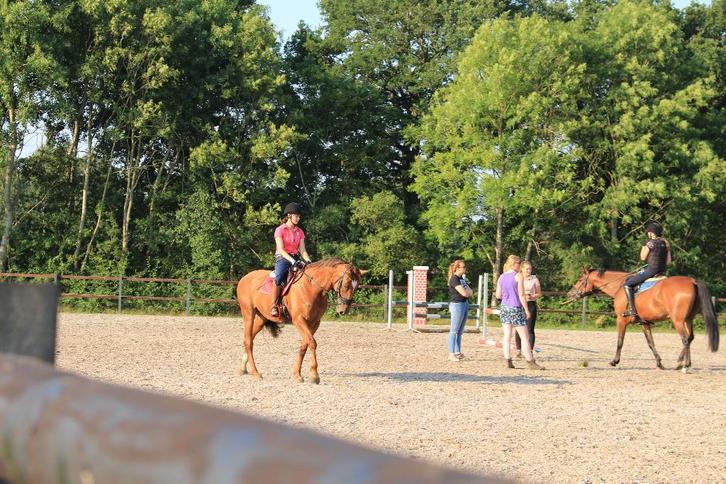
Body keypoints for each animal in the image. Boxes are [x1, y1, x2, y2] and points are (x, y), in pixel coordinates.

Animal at [236, 258, 366, 383]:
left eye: (356, 287)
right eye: (346, 284)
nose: (344, 310)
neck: (311, 288)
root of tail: (245, 278)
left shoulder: (314, 323)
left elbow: (304, 345)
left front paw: (297, 374)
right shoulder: (299, 320)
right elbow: (312, 343)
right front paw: (314, 375)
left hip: (261, 318)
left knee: (249, 338)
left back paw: (243, 367)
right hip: (248, 314)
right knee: (249, 341)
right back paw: (255, 373)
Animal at [567, 269, 719, 370]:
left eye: (580, 280)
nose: (571, 294)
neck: (620, 286)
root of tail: (692, 281)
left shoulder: (621, 320)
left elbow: (620, 341)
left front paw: (615, 361)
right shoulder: (644, 323)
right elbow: (650, 342)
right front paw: (659, 362)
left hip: (678, 321)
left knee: (685, 339)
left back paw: (683, 364)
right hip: (688, 319)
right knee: (690, 338)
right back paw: (682, 362)